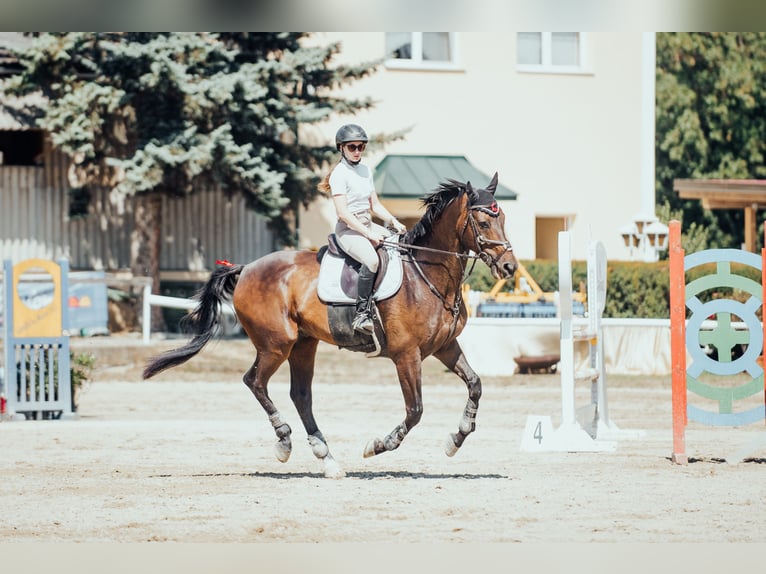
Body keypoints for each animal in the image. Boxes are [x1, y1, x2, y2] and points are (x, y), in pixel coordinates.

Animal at [142, 173, 520, 480]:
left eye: (503, 218)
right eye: (483, 222)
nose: (509, 267)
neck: (427, 273)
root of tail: (246, 267)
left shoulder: (444, 347)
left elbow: (475, 384)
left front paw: (456, 438)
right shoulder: (407, 355)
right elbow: (415, 411)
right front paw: (377, 445)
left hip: (303, 344)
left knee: (301, 395)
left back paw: (328, 460)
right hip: (276, 344)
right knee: (255, 382)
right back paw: (284, 442)